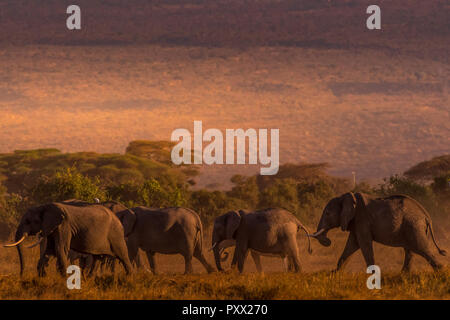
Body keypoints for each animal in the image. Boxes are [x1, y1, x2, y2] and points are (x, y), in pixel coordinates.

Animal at [3, 202, 134, 276]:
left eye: (28, 221)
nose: (21, 275)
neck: (44, 207)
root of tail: (118, 219)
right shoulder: (52, 228)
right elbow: (49, 251)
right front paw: (41, 277)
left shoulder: (64, 226)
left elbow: (60, 249)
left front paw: (64, 280)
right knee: (97, 258)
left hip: (116, 235)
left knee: (123, 256)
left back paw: (129, 279)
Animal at [310, 192, 446, 272]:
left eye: (327, 214)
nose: (328, 240)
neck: (344, 197)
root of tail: (426, 215)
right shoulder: (356, 222)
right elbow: (352, 244)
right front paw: (335, 273)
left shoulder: (362, 219)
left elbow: (364, 244)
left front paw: (372, 274)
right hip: (411, 227)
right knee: (410, 250)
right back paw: (403, 275)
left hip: (414, 225)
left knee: (421, 247)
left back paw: (440, 272)